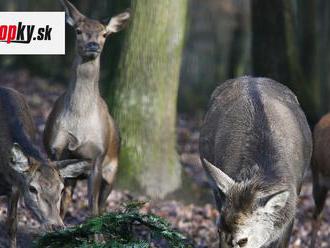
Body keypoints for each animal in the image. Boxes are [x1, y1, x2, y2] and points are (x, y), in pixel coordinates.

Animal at [42, 0, 127, 218]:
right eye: (78, 31)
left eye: (104, 34)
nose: (93, 45)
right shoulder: (56, 151)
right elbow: (59, 199)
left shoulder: (97, 156)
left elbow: (93, 208)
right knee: (67, 197)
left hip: (112, 169)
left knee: (102, 205)